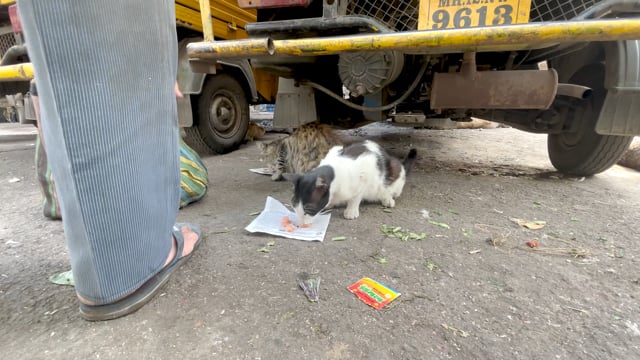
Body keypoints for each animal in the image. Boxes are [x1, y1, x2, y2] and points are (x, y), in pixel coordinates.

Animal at [282, 139, 418, 224]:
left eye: (308, 210)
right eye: (294, 205)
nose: (300, 223)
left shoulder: (367, 169)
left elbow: (356, 197)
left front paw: (351, 210)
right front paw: (330, 203)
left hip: (395, 170)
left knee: (390, 189)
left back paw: (387, 199)